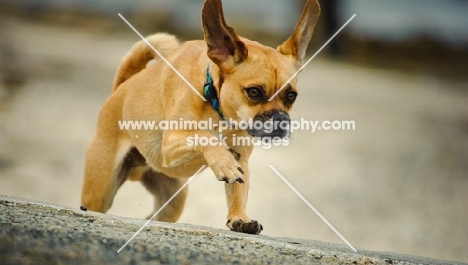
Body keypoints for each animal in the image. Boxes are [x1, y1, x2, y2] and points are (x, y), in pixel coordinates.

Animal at [81, 0, 322, 235]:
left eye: (291, 96)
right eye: (254, 92)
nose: (281, 120)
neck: (218, 111)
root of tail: (121, 87)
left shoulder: (241, 159)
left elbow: (238, 191)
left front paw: (240, 218)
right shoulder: (170, 143)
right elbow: (205, 136)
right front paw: (223, 162)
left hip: (173, 201)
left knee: (155, 217)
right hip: (100, 193)